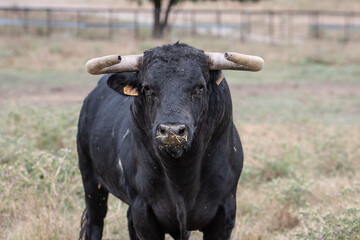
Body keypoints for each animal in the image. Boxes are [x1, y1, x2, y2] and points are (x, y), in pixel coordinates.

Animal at [77, 43, 243, 240]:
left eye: (200, 87)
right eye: (148, 88)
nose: (172, 132)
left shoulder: (225, 212)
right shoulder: (144, 212)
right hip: (91, 181)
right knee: (95, 223)